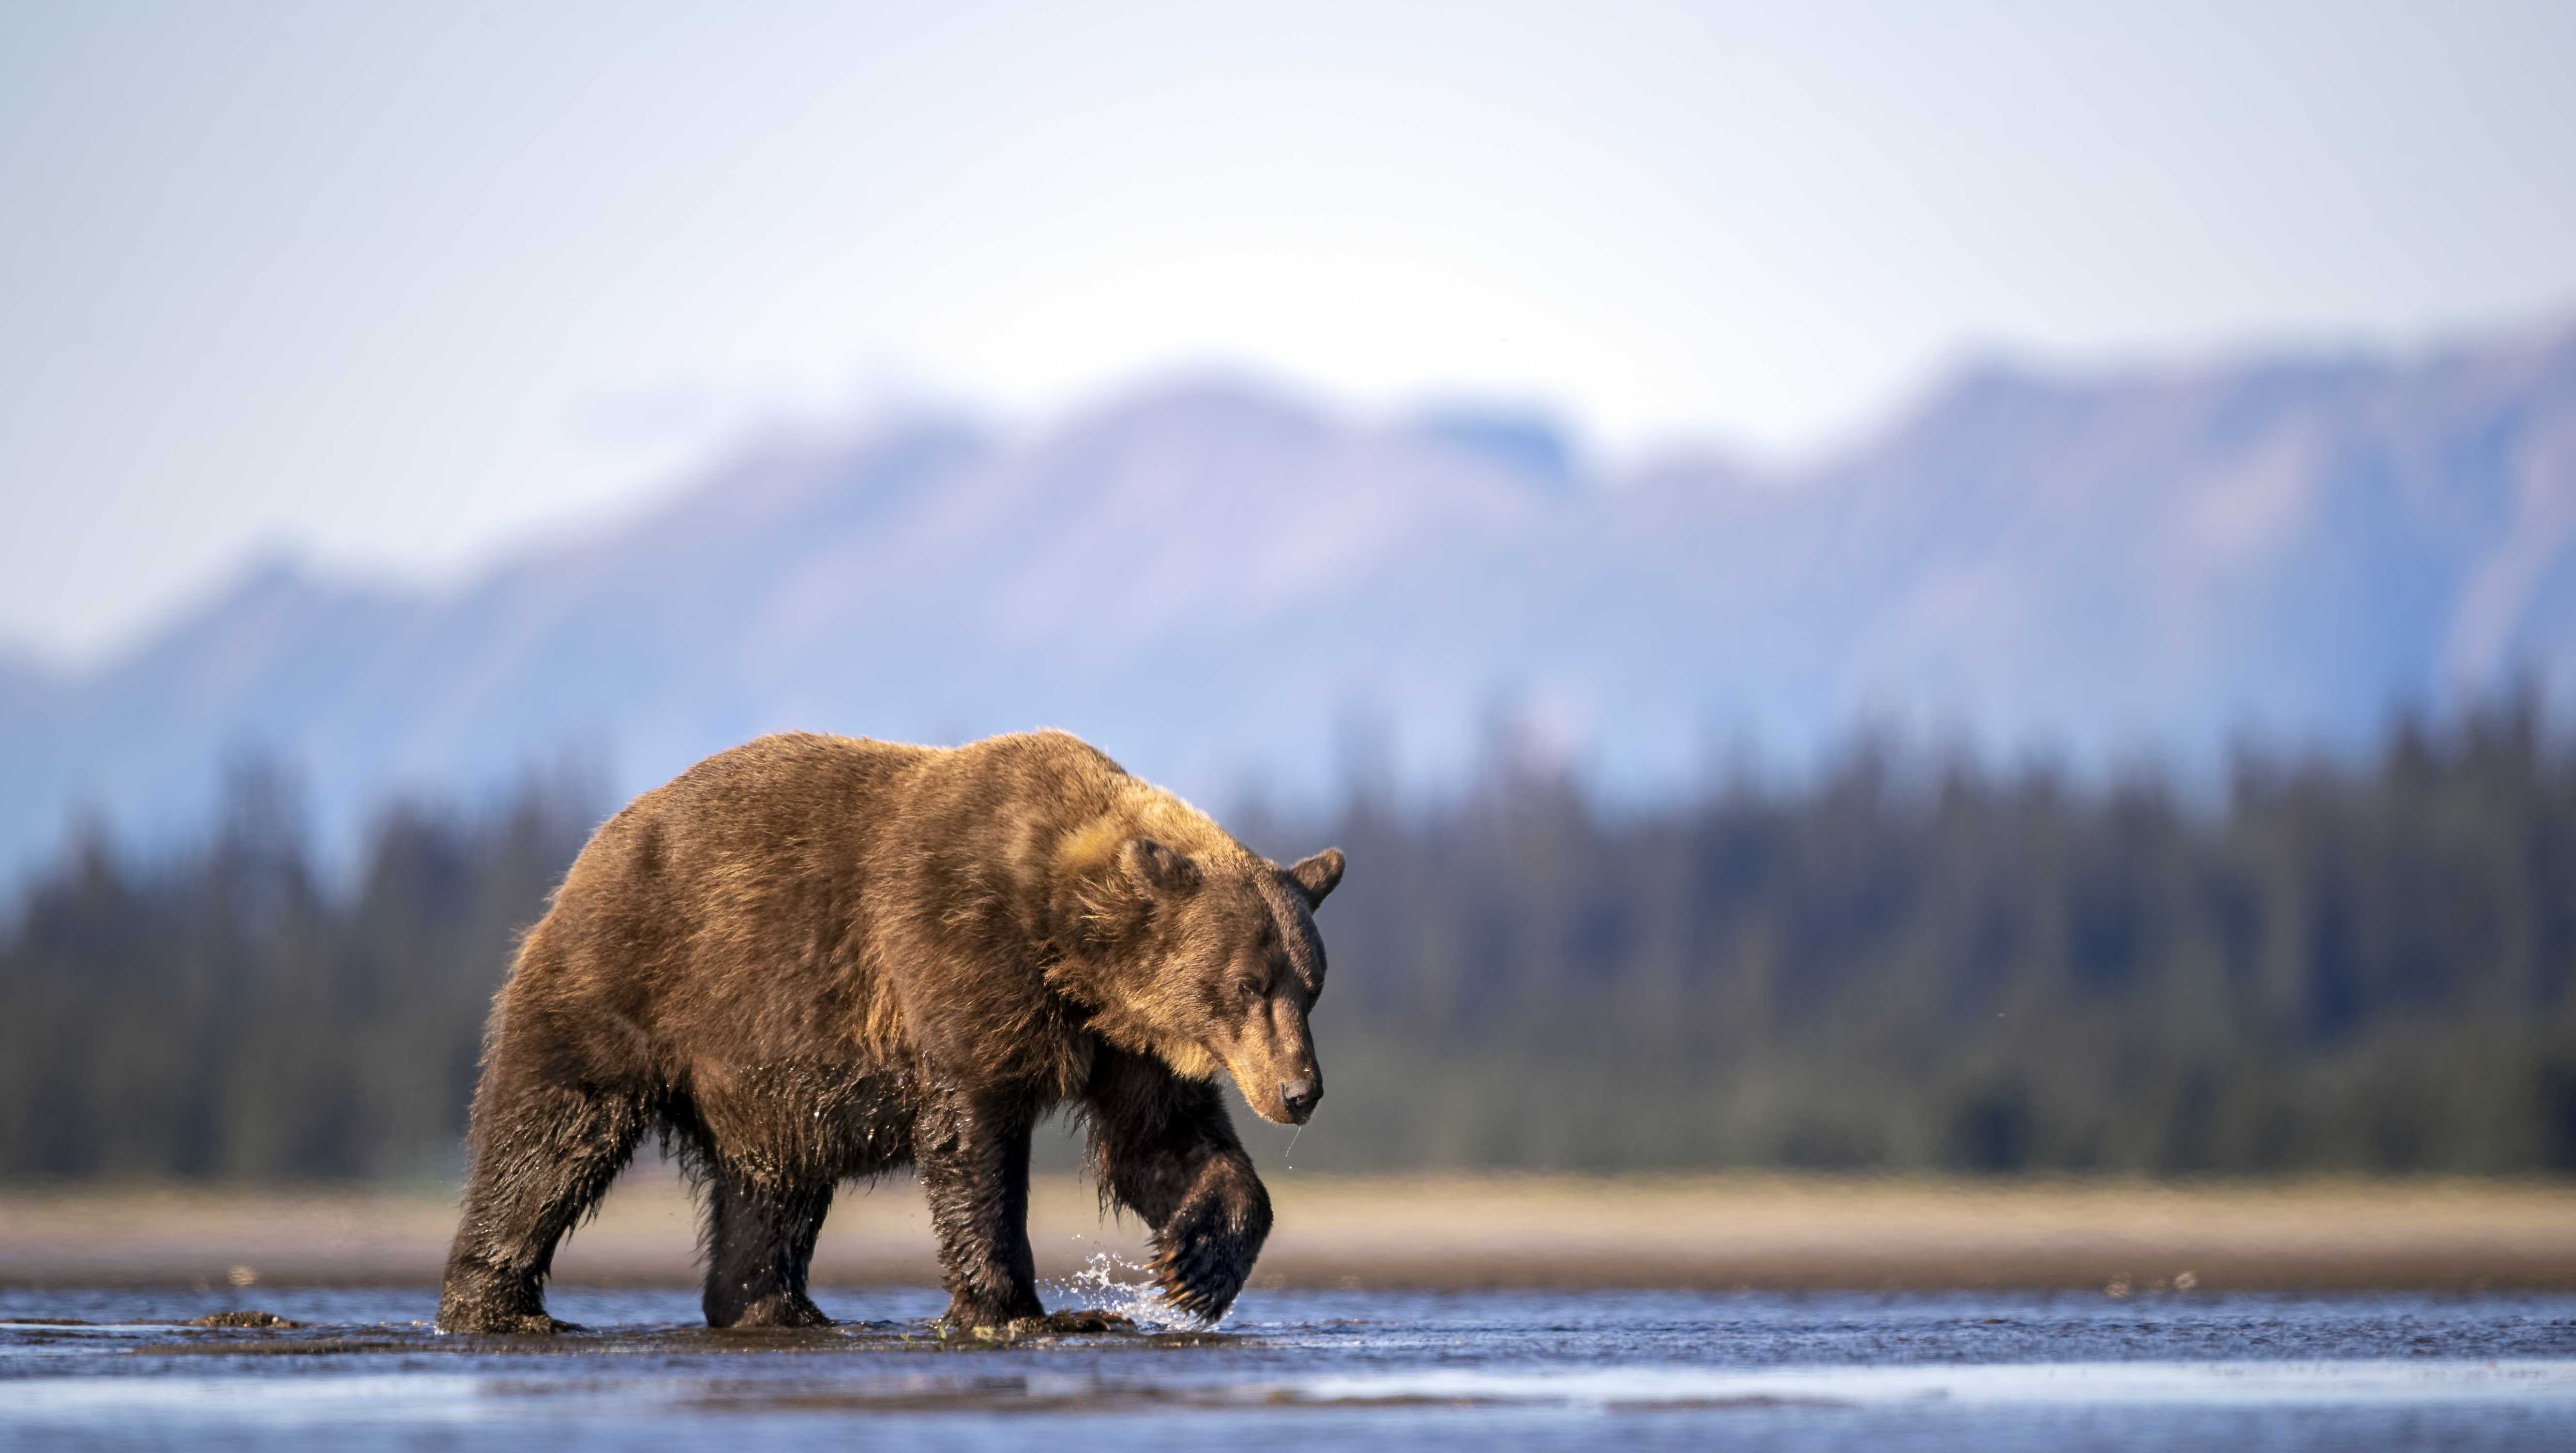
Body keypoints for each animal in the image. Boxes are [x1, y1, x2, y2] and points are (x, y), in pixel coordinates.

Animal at [434, 729, 1343, 1336]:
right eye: (1246, 983)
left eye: (1309, 985)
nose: (1300, 1091)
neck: (1068, 947)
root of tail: (597, 845)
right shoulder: (957, 955)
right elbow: (974, 1141)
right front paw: (1016, 1308)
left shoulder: (1125, 1039)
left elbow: (1161, 1140)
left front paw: (1193, 1265)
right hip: (632, 981)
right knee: (549, 1137)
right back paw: (498, 1307)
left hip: (763, 1076)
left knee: (772, 1187)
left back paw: (774, 1307)